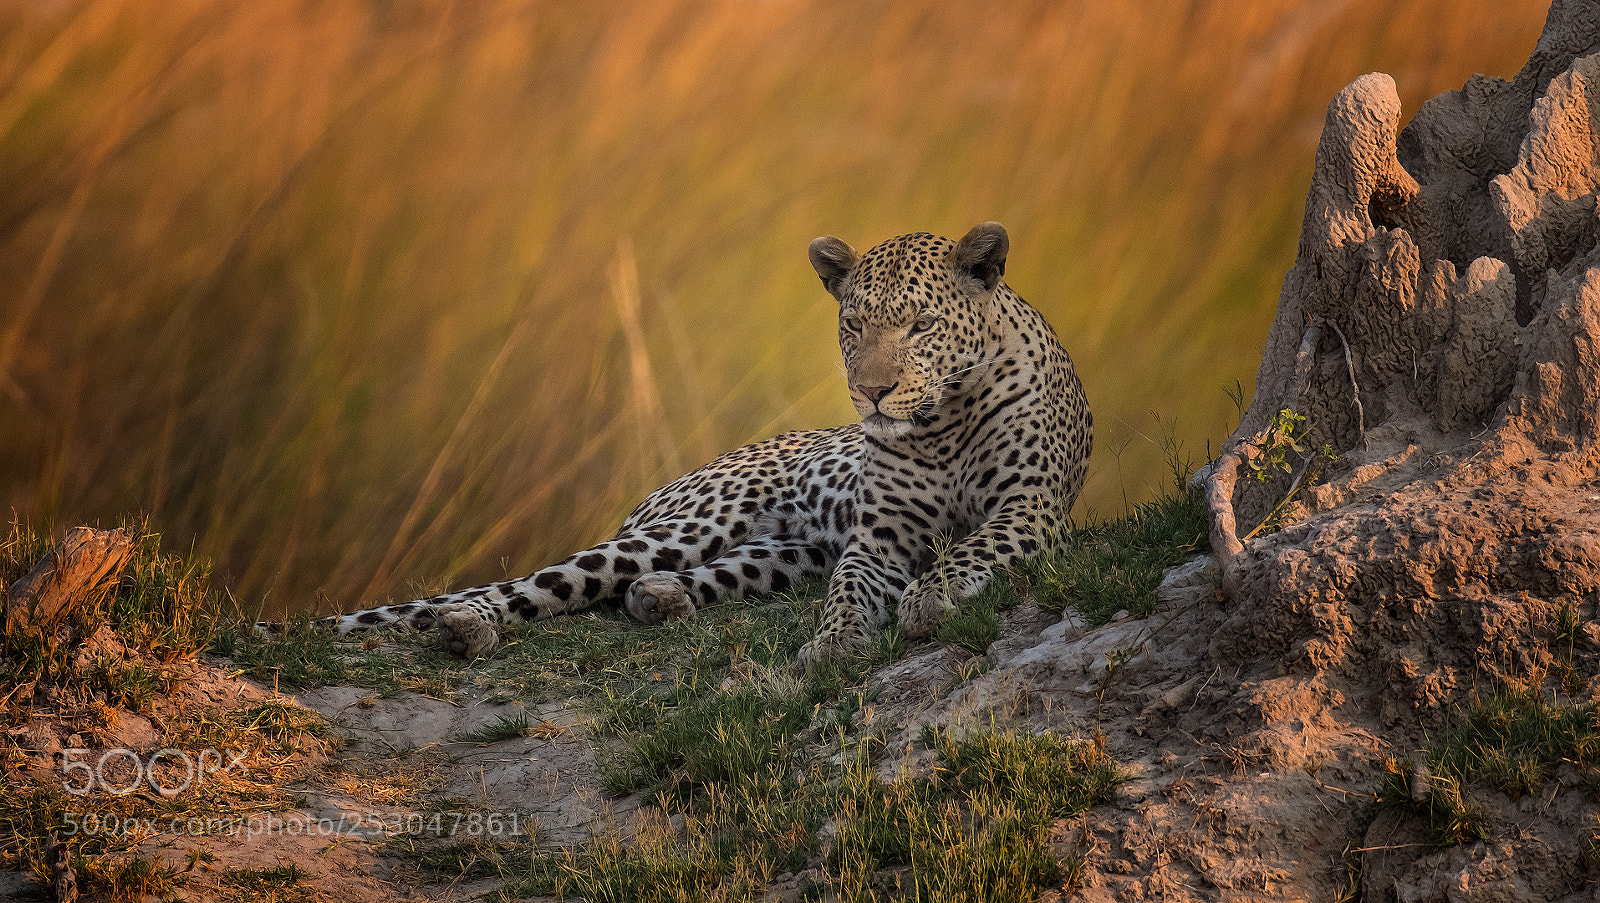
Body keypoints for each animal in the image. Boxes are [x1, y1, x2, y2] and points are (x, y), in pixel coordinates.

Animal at [286, 222, 1092, 669]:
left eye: (922, 325)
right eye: (854, 325)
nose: (873, 392)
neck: (943, 421)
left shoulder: (1027, 510)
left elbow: (968, 550)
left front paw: (928, 598)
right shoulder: (878, 538)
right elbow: (850, 591)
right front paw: (837, 641)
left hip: (780, 555)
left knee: (653, 586)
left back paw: (662, 599)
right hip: (685, 526)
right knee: (530, 588)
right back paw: (468, 628)